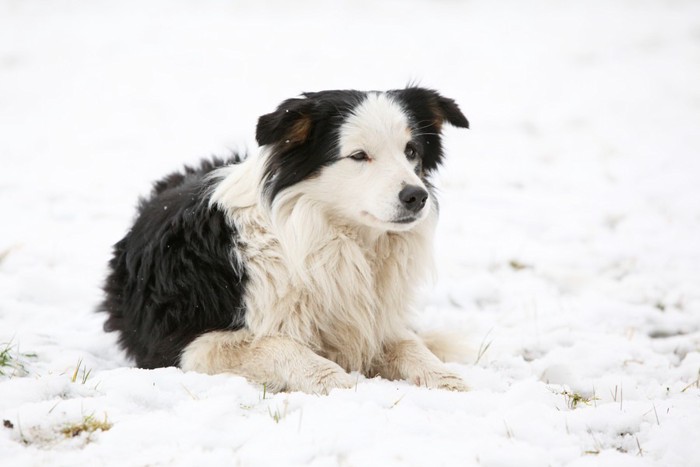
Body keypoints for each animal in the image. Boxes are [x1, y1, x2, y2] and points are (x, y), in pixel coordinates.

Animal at [98, 88, 470, 394]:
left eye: (411, 151)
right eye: (359, 155)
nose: (416, 196)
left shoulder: (370, 318)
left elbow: (407, 343)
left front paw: (443, 377)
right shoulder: (188, 345)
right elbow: (277, 344)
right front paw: (334, 381)